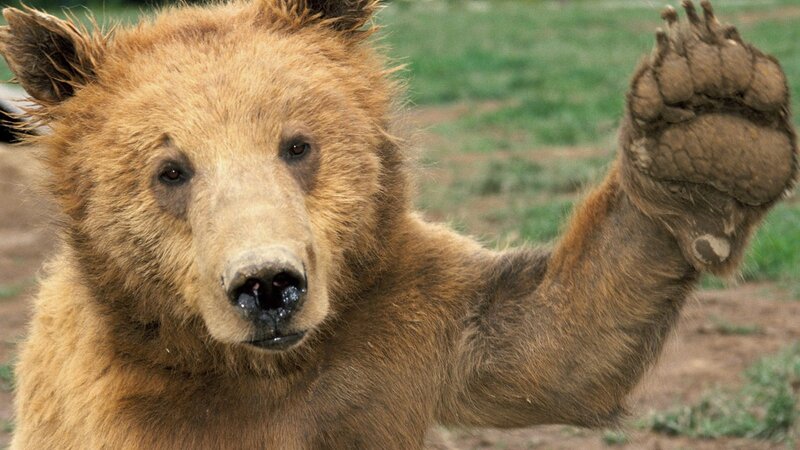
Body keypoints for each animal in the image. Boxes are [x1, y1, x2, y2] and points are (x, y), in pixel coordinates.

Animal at [0, 0, 796, 448]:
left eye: (297, 144)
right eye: (171, 169)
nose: (268, 285)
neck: (260, 372)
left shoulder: (395, 326)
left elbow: (556, 344)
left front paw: (711, 126)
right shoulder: (131, 409)